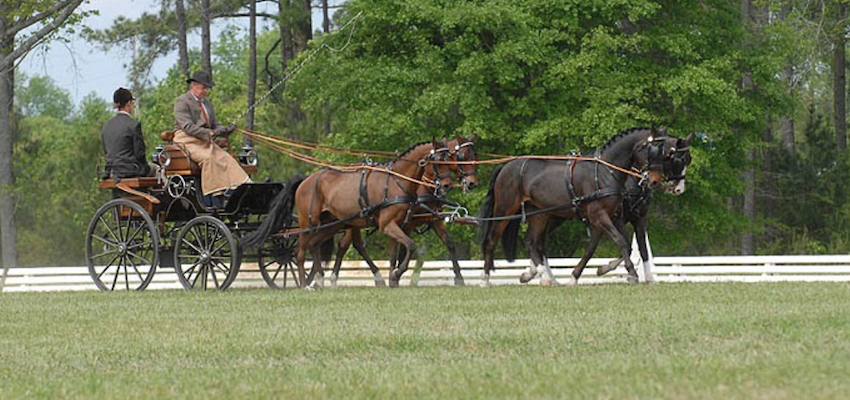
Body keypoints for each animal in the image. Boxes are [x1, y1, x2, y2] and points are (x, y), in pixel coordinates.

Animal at [238, 139, 458, 286]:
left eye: (450, 158)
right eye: (438, 160)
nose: (447, 185)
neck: (397, 181)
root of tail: (306, 180)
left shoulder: (399, 224)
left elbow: (399, 252)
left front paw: (393, 277)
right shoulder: (388, 225)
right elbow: (410, 246)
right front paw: (395, 275)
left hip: (332, 223)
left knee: (315, 246)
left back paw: (319, 280)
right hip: (308, 223)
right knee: (300, 253)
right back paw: (303, 283)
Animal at [318, 135, 476, 288]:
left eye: (474, 156)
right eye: (462, 156)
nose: (472, 183)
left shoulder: (433, 219)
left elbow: (449, 244)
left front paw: (459, 278)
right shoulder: (406, 224)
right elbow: (404, 250)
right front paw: (396, 276)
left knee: (351, 245)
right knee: (345, 245)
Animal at [476, 126, 684, 286]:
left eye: (665, 154)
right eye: (653, 151)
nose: (654, 181)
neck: (604, 171)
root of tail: (506, 166)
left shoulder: (613, 216)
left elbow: (606, 247)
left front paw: (580, 275)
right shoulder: (599, 215)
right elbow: (621, 241)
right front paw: (632, 274)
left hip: (539, 214)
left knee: (532, 242)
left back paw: (541, 276)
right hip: (505, 209)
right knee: (492, 240)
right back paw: (486, 279)